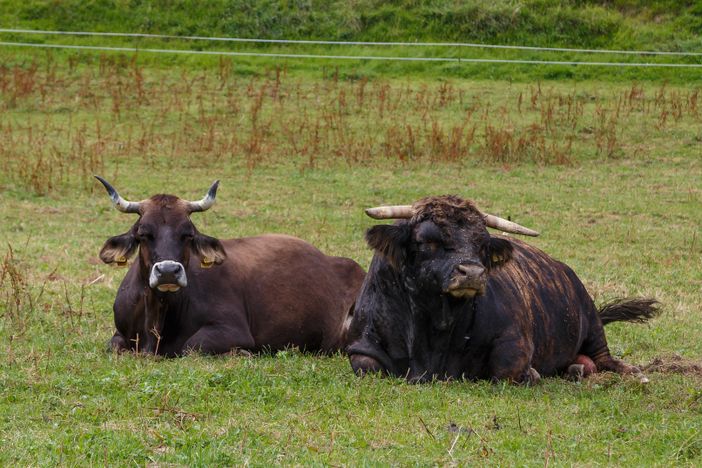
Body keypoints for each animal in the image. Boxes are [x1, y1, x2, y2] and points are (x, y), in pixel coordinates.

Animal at [95, 177, 366, 356]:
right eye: (143, 234)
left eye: (188, 234)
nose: (169, 272)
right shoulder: (120, 335)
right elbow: (114, 346)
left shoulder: (232, 329)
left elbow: (191, 347)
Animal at [350, 196, 664, 382]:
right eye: (426, 241)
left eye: (482, 243)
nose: (473, 273)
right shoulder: (361, 348)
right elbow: (366, 366)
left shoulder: (515, 341)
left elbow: (506, 368)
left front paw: (533, 374)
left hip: (592, 324)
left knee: (604, 358)